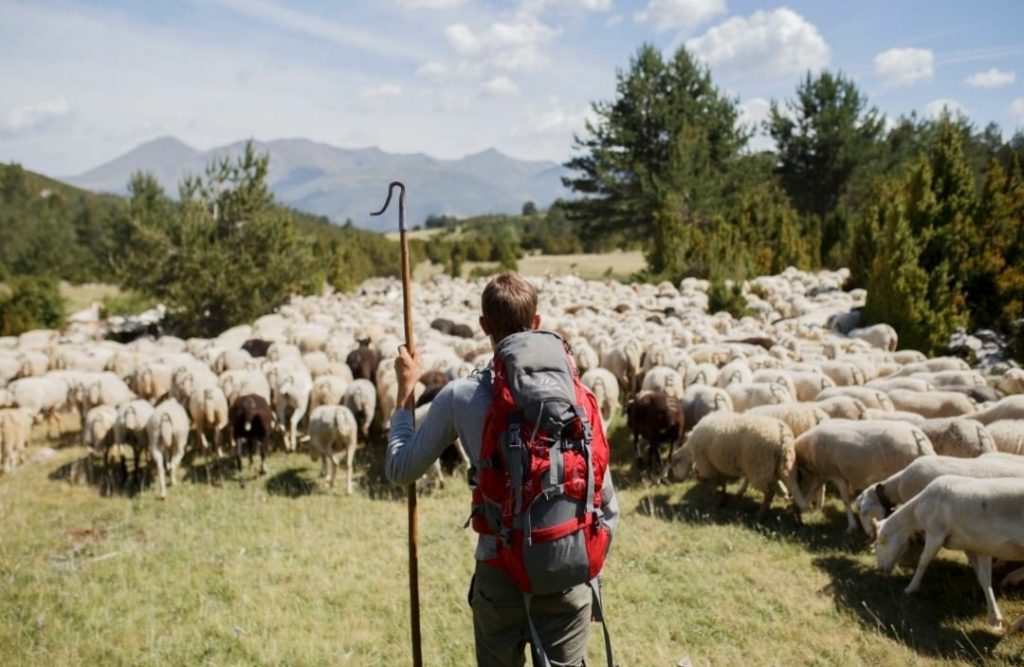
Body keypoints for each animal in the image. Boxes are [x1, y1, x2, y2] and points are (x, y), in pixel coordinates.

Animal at [671, 411, 806, 522]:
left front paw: (718, 497)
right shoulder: (719, 464)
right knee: (787, 484)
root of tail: (783, 438)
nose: (676, 479)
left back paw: (760, 515)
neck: (691, 451)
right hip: (783, 465)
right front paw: (723, 497)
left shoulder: (707, 464)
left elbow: (708, 481)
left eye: (676, 465)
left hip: (758, 467)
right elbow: (722, 482)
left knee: (769, 493)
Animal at [868, 475, 1024, 631]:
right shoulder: (977, 545)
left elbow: (924, 561)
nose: (880, 569)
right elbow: (984, 579)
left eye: (879, 543)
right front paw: (995, 619)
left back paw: (1017, 622)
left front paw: (911, 588)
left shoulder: (935, 533)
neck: (916, 512)